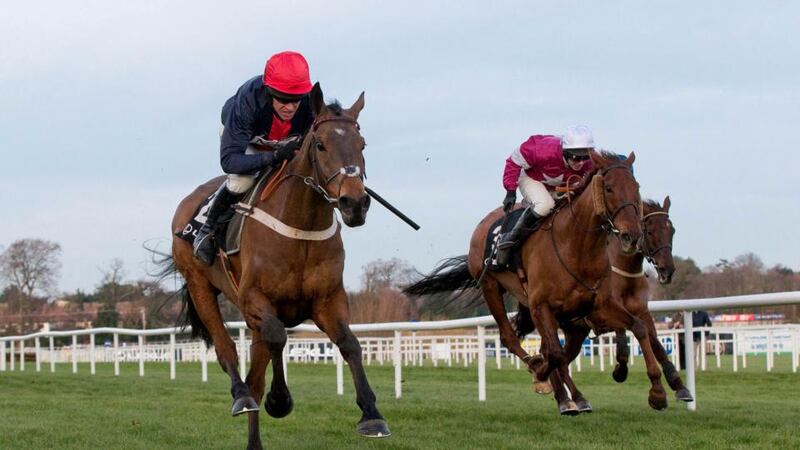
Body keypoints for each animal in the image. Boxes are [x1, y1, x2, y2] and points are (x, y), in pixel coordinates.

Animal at [162, 81, 388, 450]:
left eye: (362, 144)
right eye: (321, 145)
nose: (354, 203)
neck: (301, 227)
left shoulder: (328, 300)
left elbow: (350, 344)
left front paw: (371, 414)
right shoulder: (253, 299)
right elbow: (278, 336)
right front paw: (279, 399)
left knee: (257, 371)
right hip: (199, 284)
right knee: (230, 353)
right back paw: (241, 395)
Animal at [406, 151, 668, 414]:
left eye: (636, 187)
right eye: (609, 188)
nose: (631, 235)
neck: (577, 246)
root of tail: (484, 224)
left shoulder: (599, 305)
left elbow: (639, 327)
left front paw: (657, 392)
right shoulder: (540, 306)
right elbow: (553, 354)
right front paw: (541, 375)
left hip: (569, 319)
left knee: (562, 349)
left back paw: (574, 396)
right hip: (491, 286)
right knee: (511, 338)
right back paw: (556, 387)